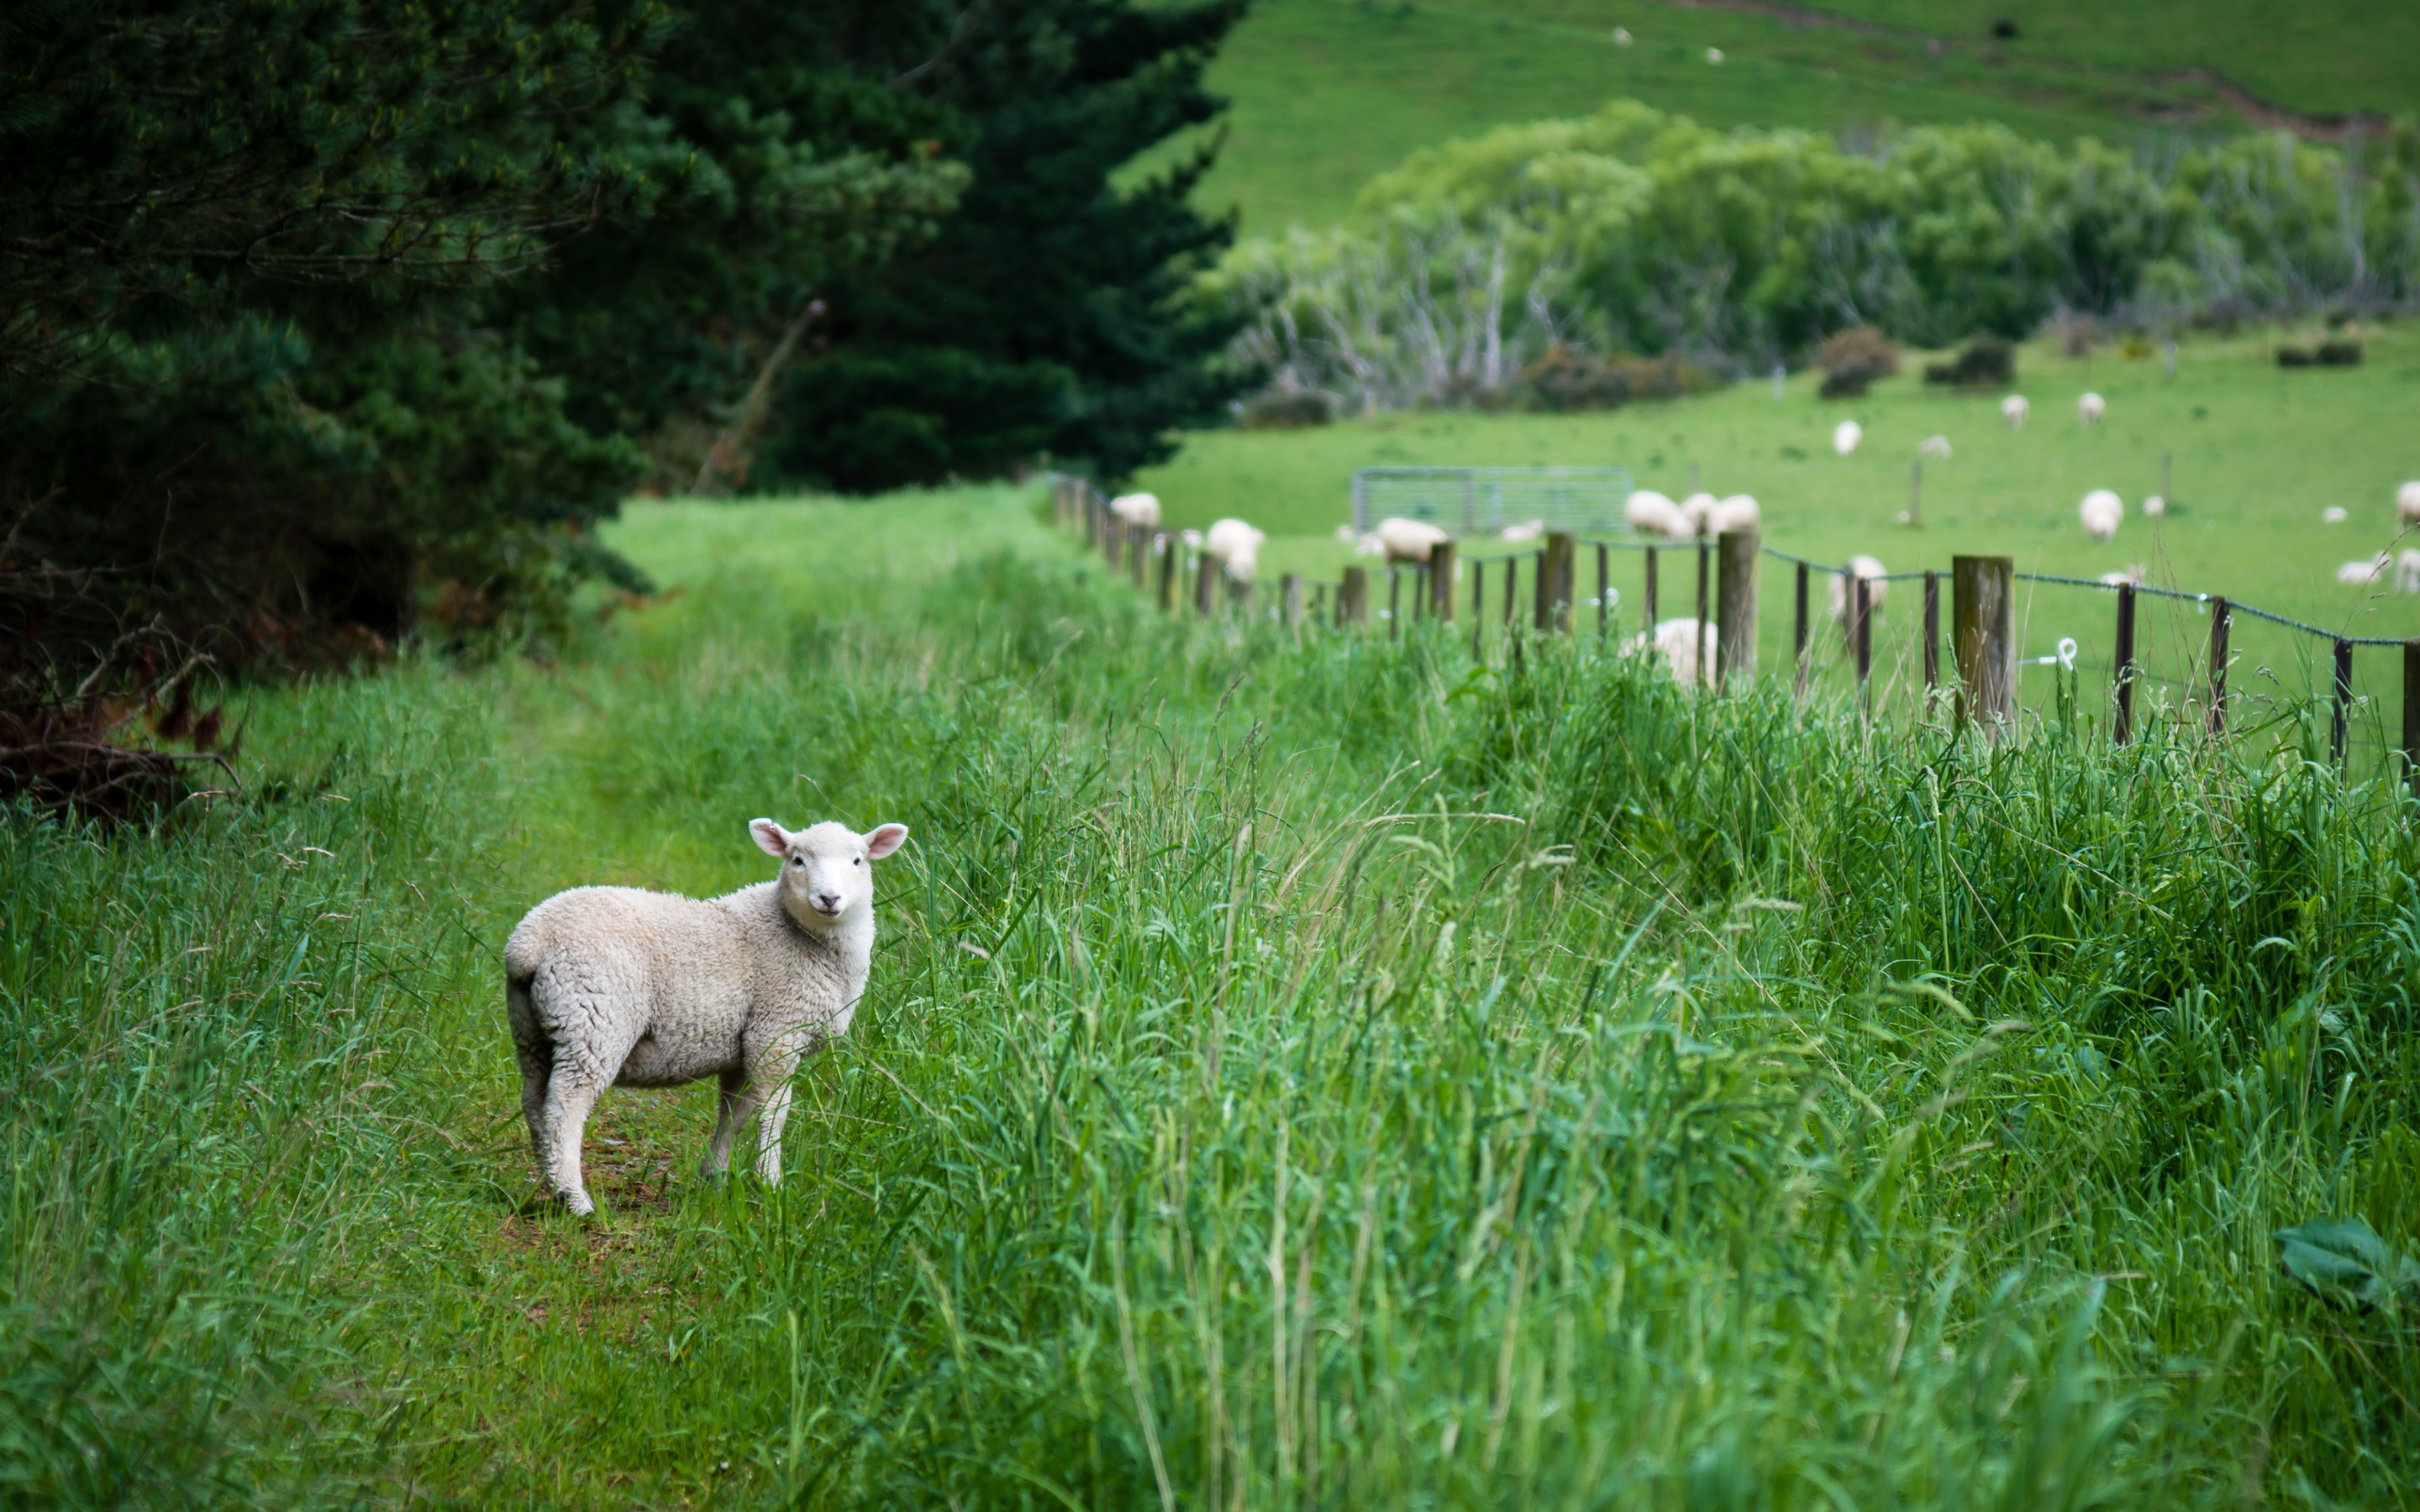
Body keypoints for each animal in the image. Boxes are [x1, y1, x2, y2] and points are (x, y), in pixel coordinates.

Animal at [501, 812, 909, 1214]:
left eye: (857, 861)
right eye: (797, 861)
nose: (829, 898)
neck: (803, 938)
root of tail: (530, 942)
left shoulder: (743, 1047)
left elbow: (735, 1114)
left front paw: (715, 1176)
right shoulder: (776, 1032)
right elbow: (774, 1112)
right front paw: (770, 1183)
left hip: (532, 1028)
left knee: (534, 1100)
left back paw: (549, 1180)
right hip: (596, 1019)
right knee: (566, 1104)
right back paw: (573, 1197)